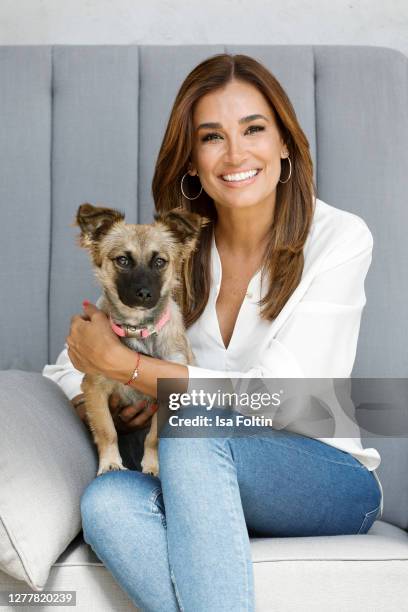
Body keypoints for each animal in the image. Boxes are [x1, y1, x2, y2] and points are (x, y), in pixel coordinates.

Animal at [74, 203, 207, 476]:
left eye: (160, 262)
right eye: (123, 260)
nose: (144, 294)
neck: (138, 329)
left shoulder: (168, 395)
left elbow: (154, 437)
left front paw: (152, 466)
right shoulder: (95, 387)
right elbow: (106, 430)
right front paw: (110, 463)